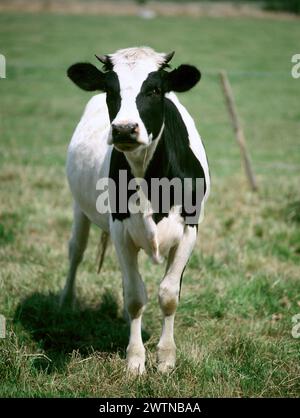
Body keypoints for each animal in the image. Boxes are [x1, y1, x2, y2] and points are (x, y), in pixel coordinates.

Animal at [61, 46, 210, 376]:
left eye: (154, 90)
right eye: (110, 90)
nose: (124, 129)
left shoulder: (189, 231)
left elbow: (169, 295)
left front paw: (166, 358)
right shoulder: (121, 232)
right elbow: (134, 296)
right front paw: (135, 360)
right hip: (79, 206)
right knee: (76, 250)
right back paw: (65, 303)